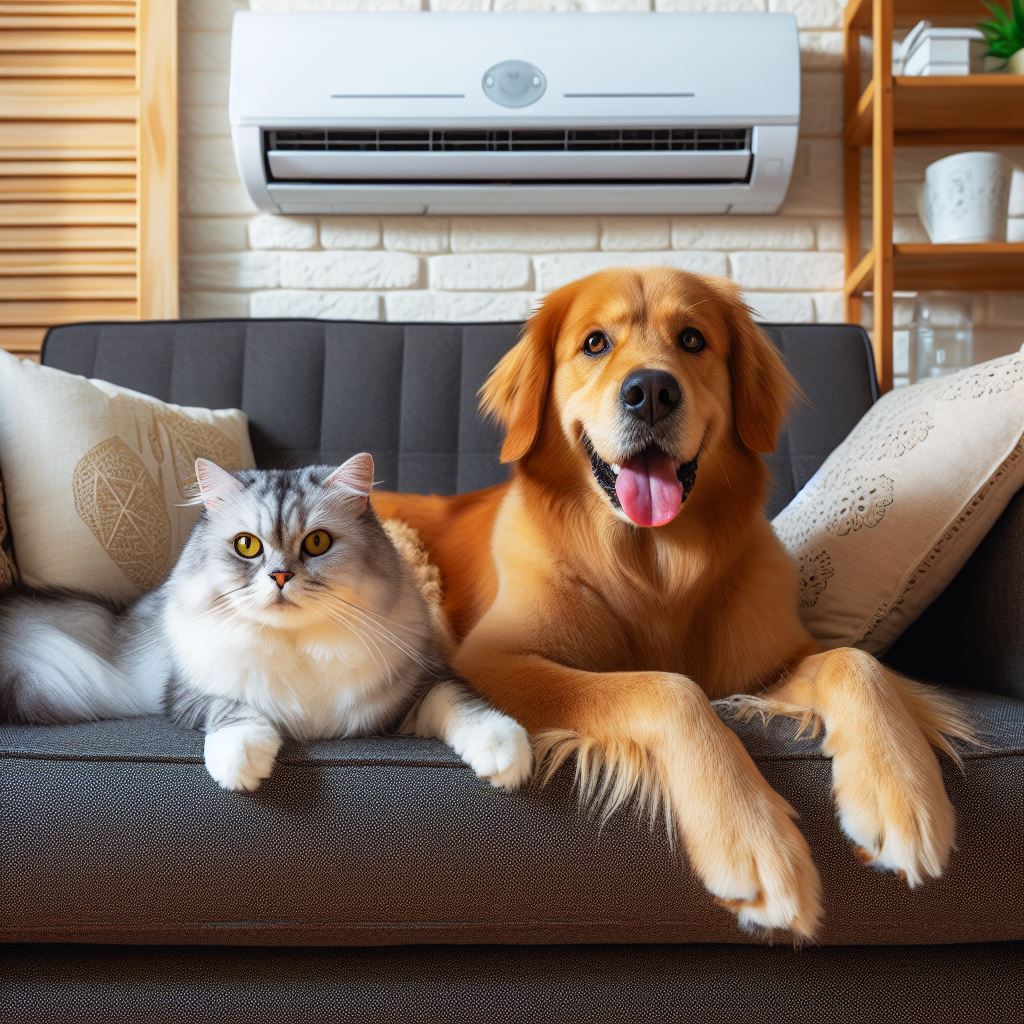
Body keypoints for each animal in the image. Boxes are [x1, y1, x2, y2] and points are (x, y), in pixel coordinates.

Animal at [0, 450, 532, 790]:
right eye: (247, 546)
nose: (279, 576)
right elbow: (234, 710)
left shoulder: (412, 690)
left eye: (317, 543)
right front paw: (242, 763)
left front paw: (507, 756)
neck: (299, 646)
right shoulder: (188, 694)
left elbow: (464, 703)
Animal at [372, 268, 970, 937]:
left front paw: (902, 793)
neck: (654, 570)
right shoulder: (495, 657)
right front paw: (750, 836)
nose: (651, 392)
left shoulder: (767, 664)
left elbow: (856, 661)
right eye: (595, 343)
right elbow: (668, 687)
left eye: (692, 339)